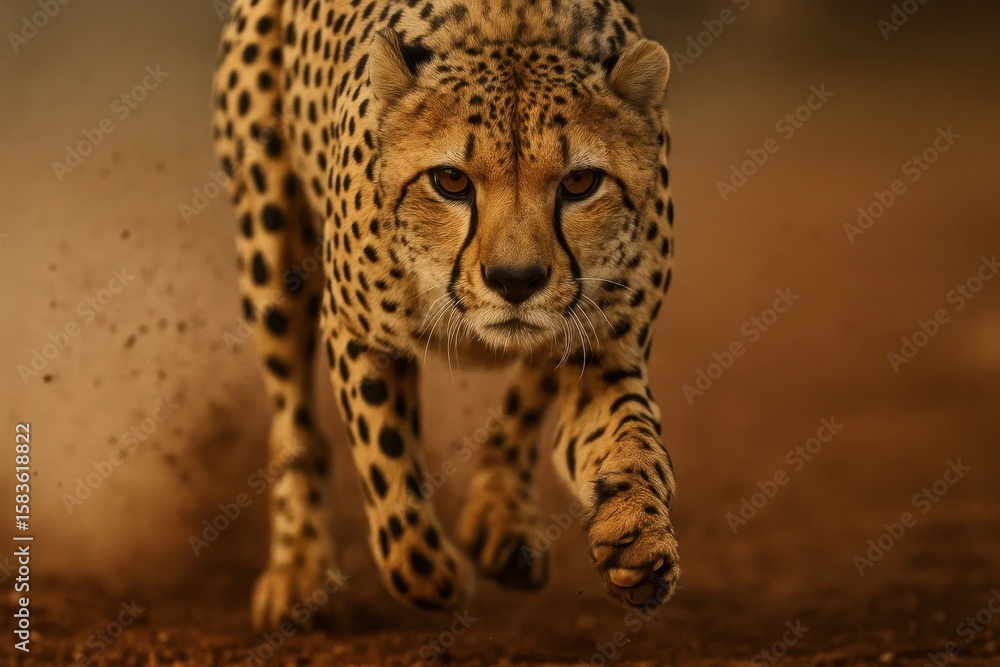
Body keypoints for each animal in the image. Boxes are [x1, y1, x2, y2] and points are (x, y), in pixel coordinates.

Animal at [212, 0, 678, 631]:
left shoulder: (604, 348)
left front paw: (637, 534)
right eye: (450, 180)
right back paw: (298, 567)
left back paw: (501, 515)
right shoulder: (359, 334)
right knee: (292, 419)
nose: (515, 281)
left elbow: (631, 438)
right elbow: (389, 479)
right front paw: (436, 576)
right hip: (270, 236)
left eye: (580, 182)